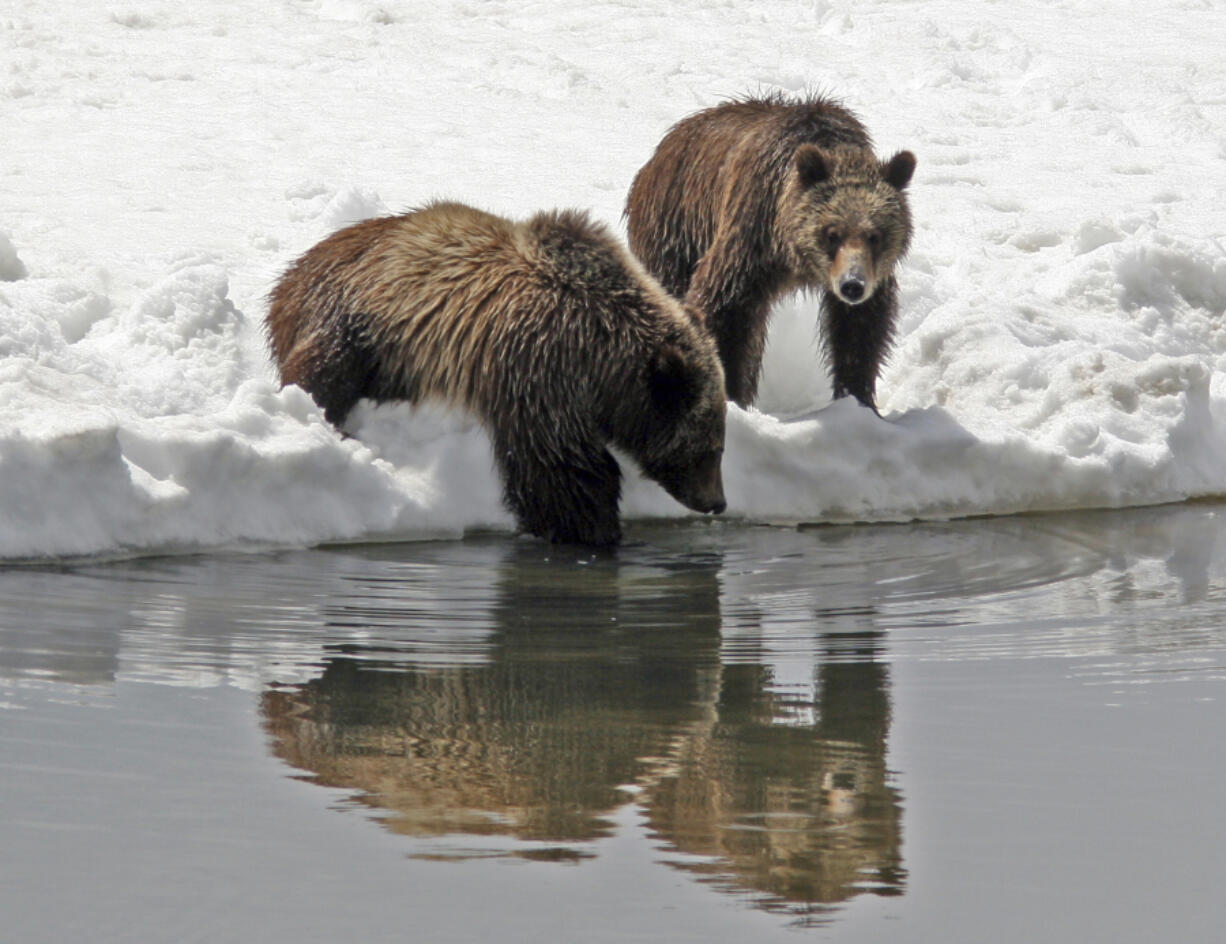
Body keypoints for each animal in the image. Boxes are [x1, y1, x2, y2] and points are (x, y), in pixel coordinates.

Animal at [266, 202, 725, 549]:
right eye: (710, 448)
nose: (717, 502)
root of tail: (291, 273)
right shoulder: (537, 367)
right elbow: (558, 465)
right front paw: (594, 529)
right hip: (357, 316)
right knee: (325, 370)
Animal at [627, 93, 917, 411]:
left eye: (875, 235)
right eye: (831, 233)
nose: (852, 285)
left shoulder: (871, 276)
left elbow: (860, 330)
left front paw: (858, 399)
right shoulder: (753, 236)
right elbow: (725, 308)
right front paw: (730, 394)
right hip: (674, 229)